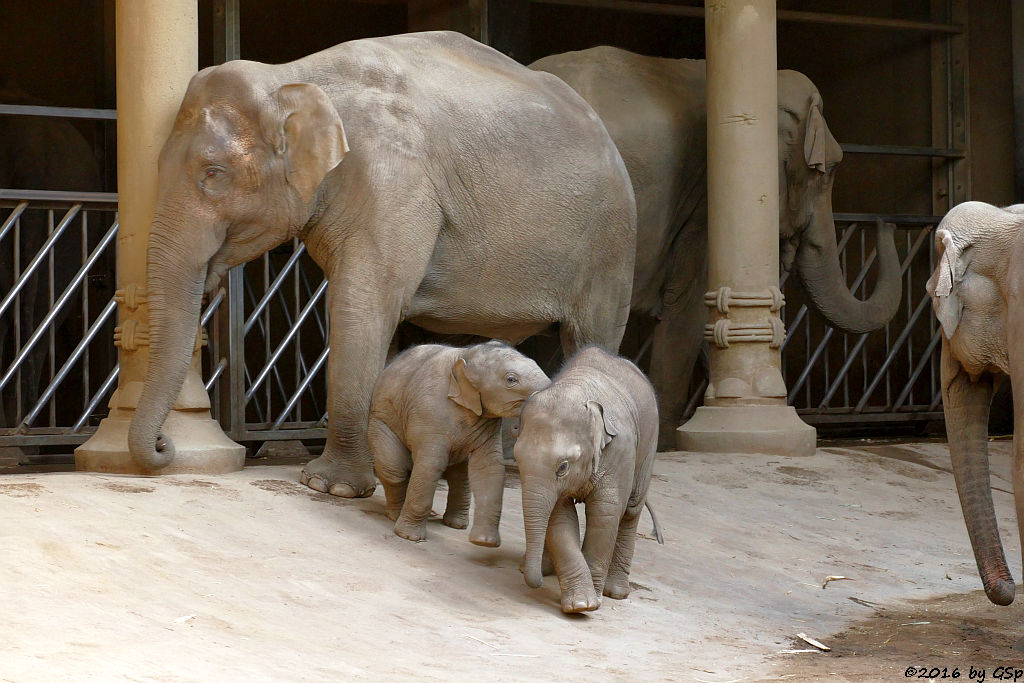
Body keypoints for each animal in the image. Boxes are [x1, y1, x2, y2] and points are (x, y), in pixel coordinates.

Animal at [125, 31, 638, 499]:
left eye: (212, 174)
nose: (164, 446)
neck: (290, 75)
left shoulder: (395, 183)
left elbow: (362, 306)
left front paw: (331, 486)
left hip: (610, 246)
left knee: (588, 337)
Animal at [370, 342, 548, 544]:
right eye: (511, 379)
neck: (465, 355)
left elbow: (489, 467)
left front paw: (484, 542)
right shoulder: (430, 413)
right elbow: (431, 464)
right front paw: (409, 537)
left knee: (461, 476)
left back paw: (455, 524)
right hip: (381, 419)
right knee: (395, 468)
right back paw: (396, 515)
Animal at [516, 348, 659, 614]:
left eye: (563, 467)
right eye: (517, 460)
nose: (533, 583)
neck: (578, 388)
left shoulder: (620, 450)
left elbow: (605, 513)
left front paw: (590, 603)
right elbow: (559, 517)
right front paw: (581, 603)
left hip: (649, 445)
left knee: (631, 511)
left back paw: (616, 592)